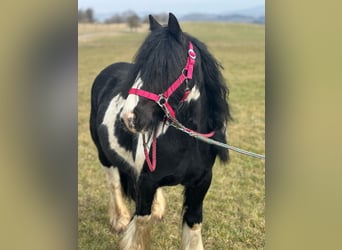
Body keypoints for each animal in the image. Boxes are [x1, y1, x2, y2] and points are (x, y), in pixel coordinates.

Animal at [89, 13, 231, 250]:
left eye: (164, 67)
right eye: (139, 68)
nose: (128, 118)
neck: (186, 143)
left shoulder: (201, 184)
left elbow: (193, 224)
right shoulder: (146, 184)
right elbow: (140, 226)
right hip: (104, 155)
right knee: (114, 184)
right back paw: (119, 220)